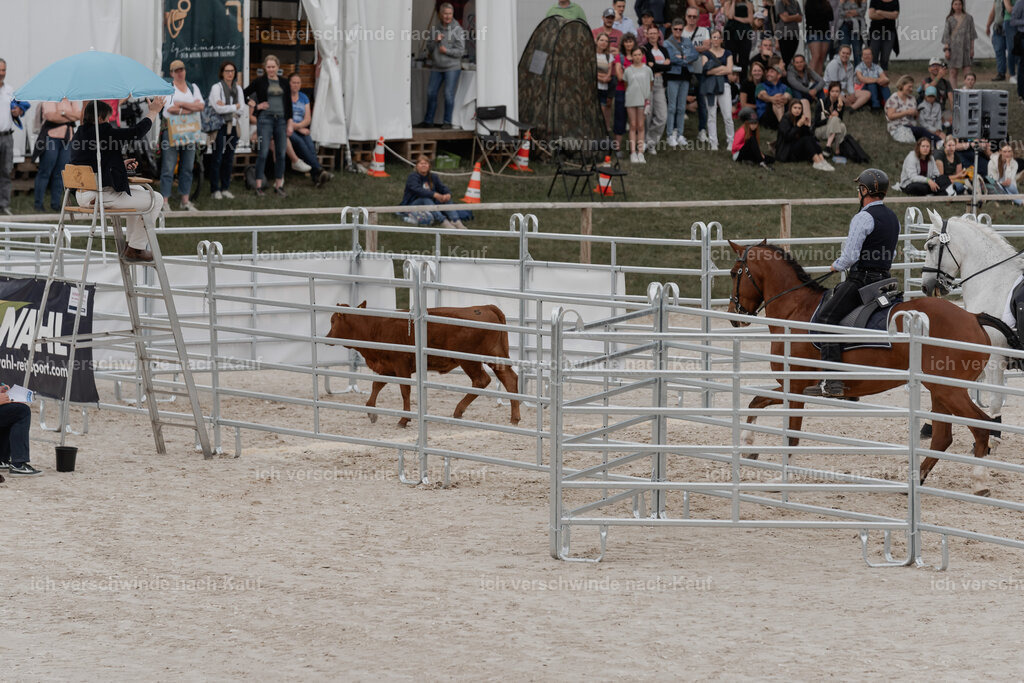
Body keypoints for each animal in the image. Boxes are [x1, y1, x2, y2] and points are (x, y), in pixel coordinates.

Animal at [727, 240, 996, 496]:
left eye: (733, 273)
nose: (732, 315)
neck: (795, 310)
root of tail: (973, 318)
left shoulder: (795, 386)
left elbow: (791, 435)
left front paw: (781, 478)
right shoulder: (794, 385)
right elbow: (756, 400)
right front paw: (747, 444)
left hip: (949, 391)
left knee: (981, 427)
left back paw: (979, 482)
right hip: (939, 391)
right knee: (942, 438)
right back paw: (914, 482)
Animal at [920, 209, 1024, 442]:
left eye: (930, 246)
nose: (925, 287)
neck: (992, 282)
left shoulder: (994, 357)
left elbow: (994, 400)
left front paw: (993, 436)